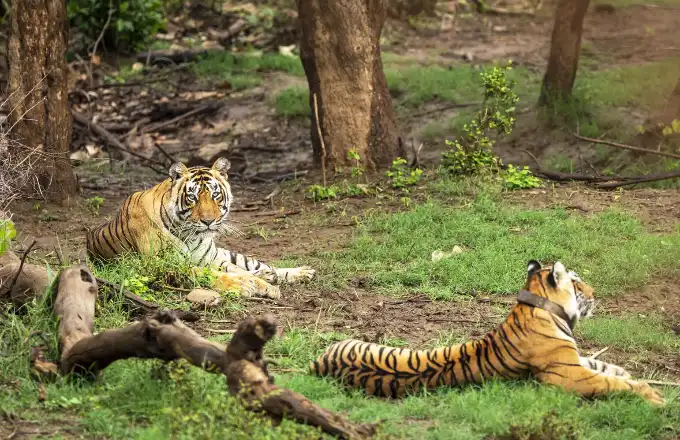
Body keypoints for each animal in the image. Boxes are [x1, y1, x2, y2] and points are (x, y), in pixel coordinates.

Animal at [85, 158, 315, 298]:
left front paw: (266, 286)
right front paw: (245, 285)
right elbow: (217, 275)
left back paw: (298, 272)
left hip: (226, 254)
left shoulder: (211, 259)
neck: (192, 235)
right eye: (192, 197)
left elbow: (238, 271)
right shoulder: (165, 266)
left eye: (215, 195)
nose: (208, 221)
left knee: (256, 265)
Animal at [310, 260, 664, 405]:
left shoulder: (575, 360)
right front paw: (654, 397)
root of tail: (318, 363)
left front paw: (634, 377)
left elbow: (609, 367)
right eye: (577, 283)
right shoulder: (568, 375)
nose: (595, 293)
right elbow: (612, 382)